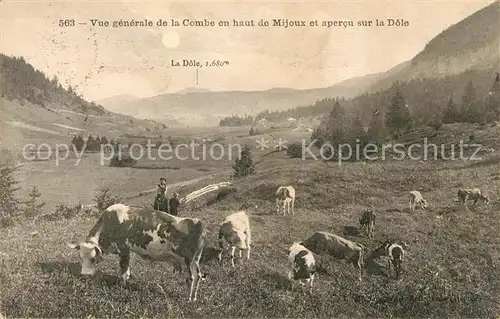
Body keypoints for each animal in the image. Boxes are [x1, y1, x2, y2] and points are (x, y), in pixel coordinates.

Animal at [68, 205, 205, 302]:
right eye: (80, 257)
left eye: (93, 258)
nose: (85, 275)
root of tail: (197, 222)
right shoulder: (127, 250)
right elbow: (127, 266)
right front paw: (128, 277)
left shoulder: (123, 247)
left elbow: (123, 267)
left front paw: (123, 284)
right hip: (196, 260)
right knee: (198, 276)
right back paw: (194, 298)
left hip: (187, 260)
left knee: (191, 278)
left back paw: (188, 298)